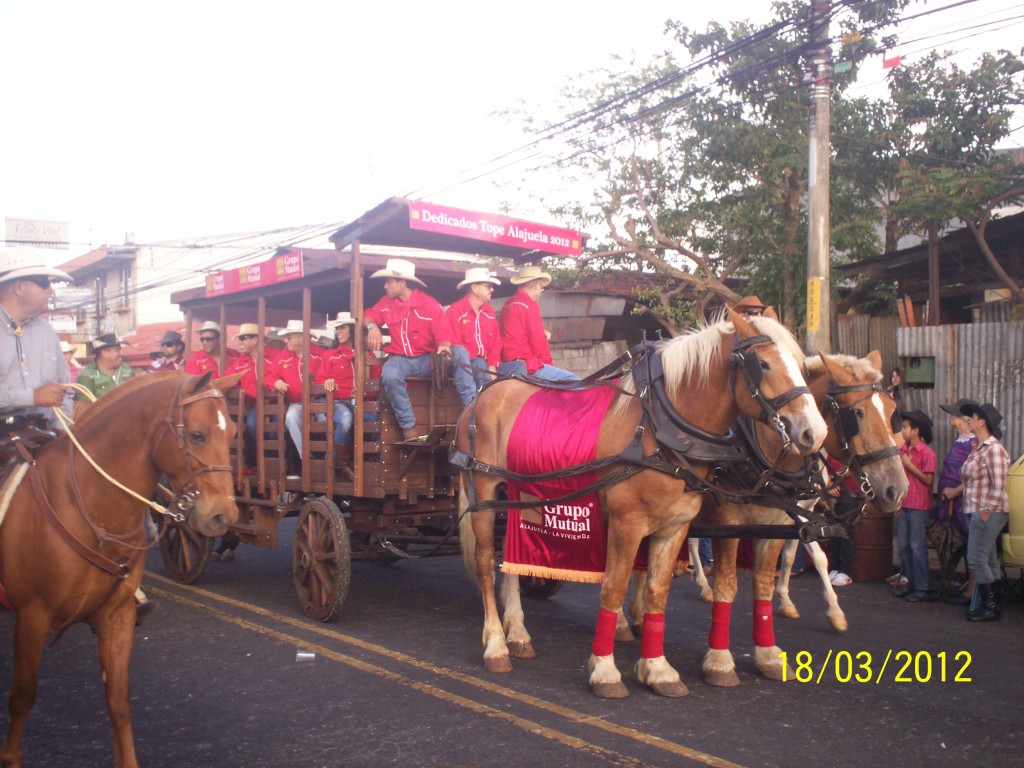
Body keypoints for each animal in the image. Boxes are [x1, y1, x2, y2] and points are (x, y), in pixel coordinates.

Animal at [0, 372, 240, 768]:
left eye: (233, 432)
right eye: (197, 435)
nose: (223, 516)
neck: (86, 506)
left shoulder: (116, 617)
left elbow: (118, 702)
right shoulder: (32, 617)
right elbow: (22, 698)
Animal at [452, 309, 827, 700]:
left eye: (801, 365)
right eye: (763, 364)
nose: (814, 433)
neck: (661, 430)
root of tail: (484, 393)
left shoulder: (679, 527)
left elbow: (660, 591)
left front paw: (657, 668)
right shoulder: (634, 523)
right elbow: (615, 586)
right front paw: (606, 669)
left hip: (522, 499)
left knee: (511, 562)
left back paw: (519, 633)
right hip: (483, 493)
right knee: (485, 565)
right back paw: (496, 644)